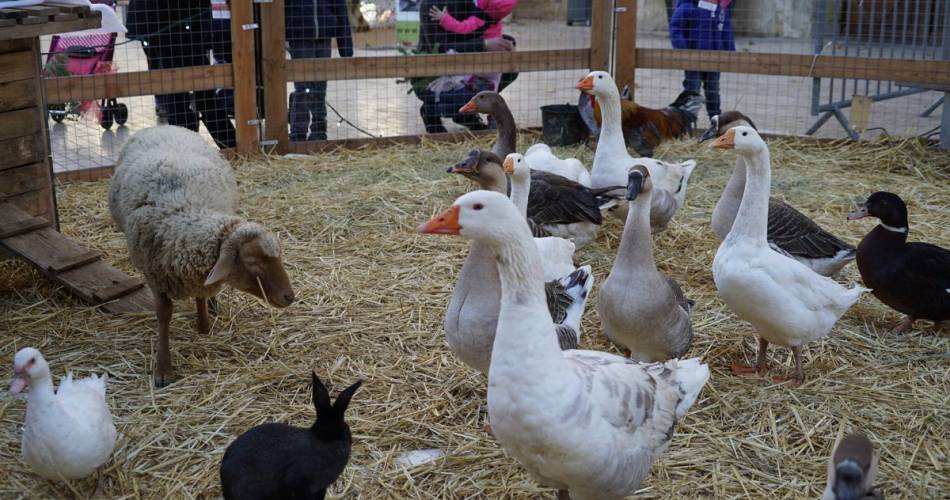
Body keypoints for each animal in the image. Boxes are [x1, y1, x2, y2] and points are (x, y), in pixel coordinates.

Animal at [109, 125, 294, 386]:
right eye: (252, 261)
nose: (290, 297)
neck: (187, 212)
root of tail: (163, 126)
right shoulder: (155, 274)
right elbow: (164, 315)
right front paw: (163, 369)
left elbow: (201, 295)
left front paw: (204, 327)